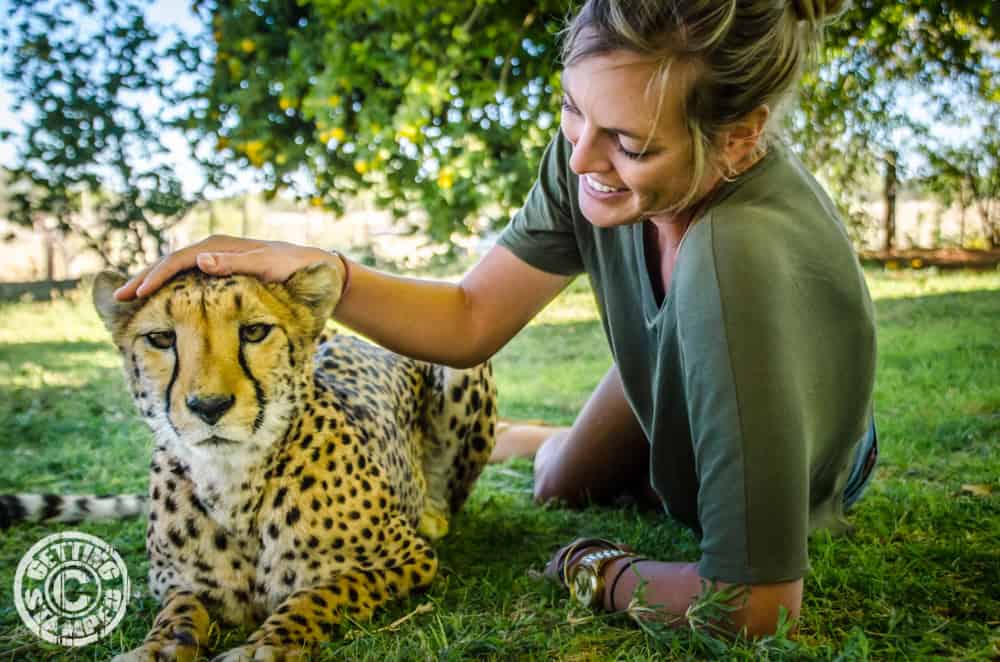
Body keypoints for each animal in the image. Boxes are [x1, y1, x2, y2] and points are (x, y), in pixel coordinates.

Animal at [0, 264, 496, 662]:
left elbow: (324, 590)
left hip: (464, 365)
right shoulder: (171, 578)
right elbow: (178, 607)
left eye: (255, 332)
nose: (209, 406)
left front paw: (267, 644)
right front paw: (159, 646)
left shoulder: (408, 557)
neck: (233, 483)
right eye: (161, 338)